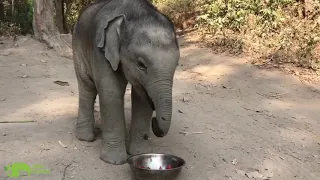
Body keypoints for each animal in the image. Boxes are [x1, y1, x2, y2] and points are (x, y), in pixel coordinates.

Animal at [72, 0, 180, 165]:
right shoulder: (101, 51)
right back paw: (86, 138)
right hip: (78, 48)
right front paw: (113, 161)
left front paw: (139, 153)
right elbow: (111, 92)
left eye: (177, 65)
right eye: (141, 64)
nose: (154, 122)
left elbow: (141, 99)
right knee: (86, 87)